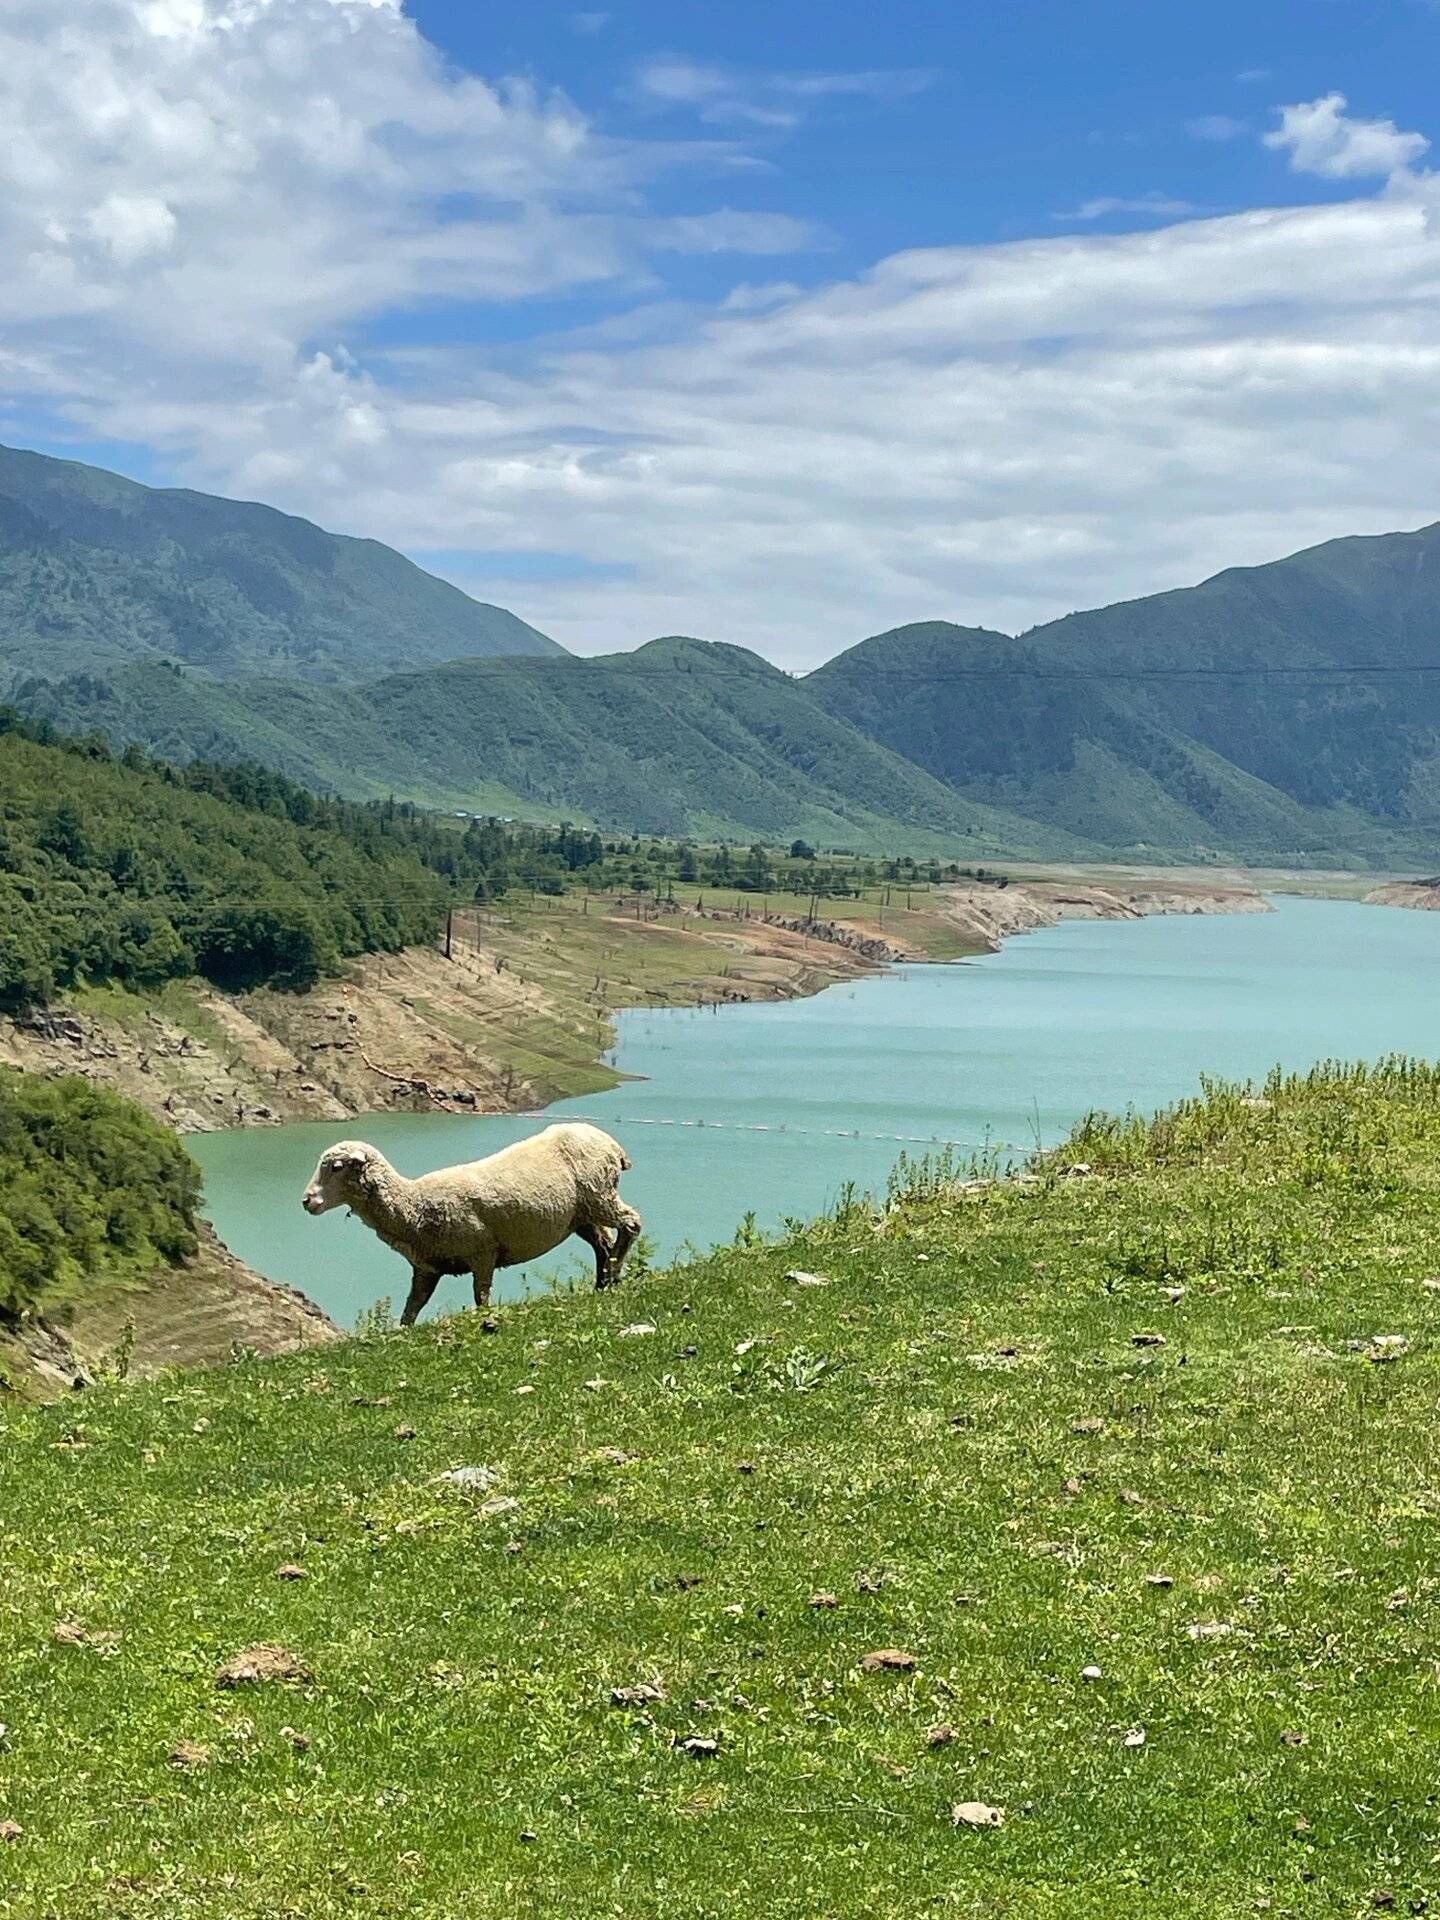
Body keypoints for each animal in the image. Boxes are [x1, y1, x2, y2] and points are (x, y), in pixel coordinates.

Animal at [303, 1121, 641, 1320]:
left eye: (336, 1167)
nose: (306, 1201)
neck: (414, 1205)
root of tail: (612, 1145)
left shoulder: (483, 1253)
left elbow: (481, 1297)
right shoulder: (426, 1269)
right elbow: (411, 1310)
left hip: (600, 1195)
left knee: (631, 1223)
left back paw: (614, 1273)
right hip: (582, 1214)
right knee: (602, 1243)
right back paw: (602, 1283)